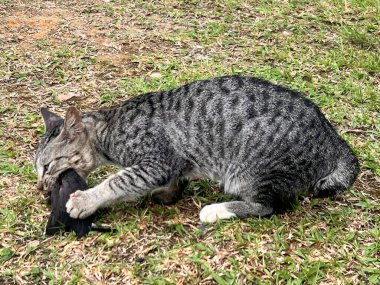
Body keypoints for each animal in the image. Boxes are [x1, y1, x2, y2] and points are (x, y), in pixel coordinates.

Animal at [35, 75, 360, 222]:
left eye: (47, 166)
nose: (40, 186)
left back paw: (216, 210)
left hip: (253, 172)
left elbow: (117, 181)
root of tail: (332, 136)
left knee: (267, 207)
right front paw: (168, 193)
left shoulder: (156, 161)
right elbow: (175, 179)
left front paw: (86, 199)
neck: (108, 127)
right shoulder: (175, 164)